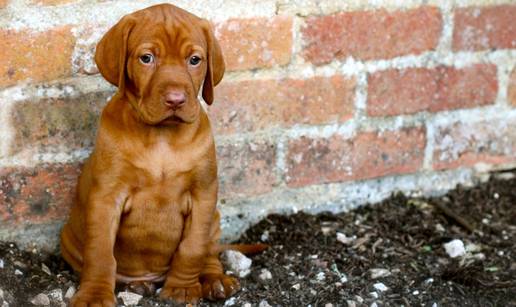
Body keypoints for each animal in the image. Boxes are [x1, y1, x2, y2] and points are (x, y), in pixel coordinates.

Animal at [59, 3, 237, 306]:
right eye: (147, 58)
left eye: (194, 60)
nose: (176, 100)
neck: (162, 138)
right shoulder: (106, 198)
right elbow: (101, 253)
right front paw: (94, 294)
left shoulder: (203, 195)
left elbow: (192, 248)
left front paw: (182, 289)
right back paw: (138, 286)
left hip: (214, 220)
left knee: (210, 254)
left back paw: (215, 281)